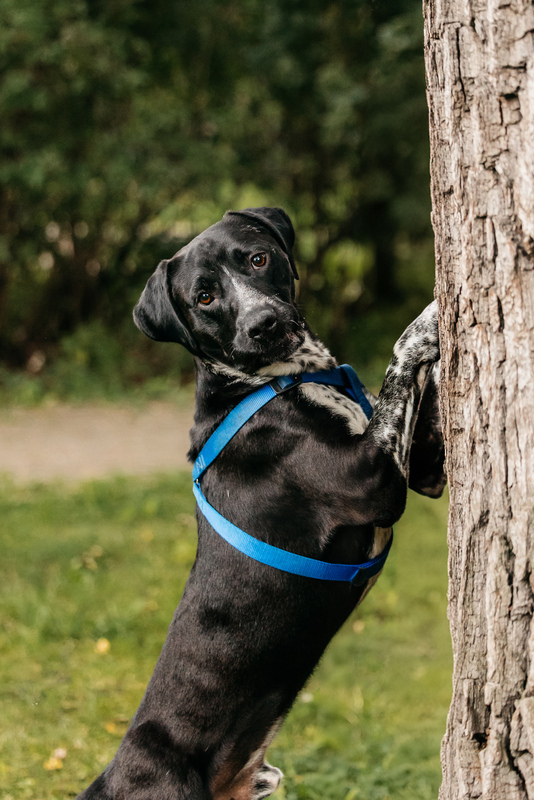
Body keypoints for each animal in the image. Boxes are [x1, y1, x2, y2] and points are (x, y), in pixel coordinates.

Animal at [77, 208, 446, 800]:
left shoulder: (427, 469)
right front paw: (426, 318)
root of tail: (108, 780)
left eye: (257, 258)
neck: (277, 380)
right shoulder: (372, 482)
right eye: (204, 296)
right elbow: (400, 358)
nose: (265, 324)